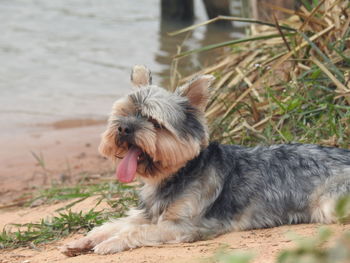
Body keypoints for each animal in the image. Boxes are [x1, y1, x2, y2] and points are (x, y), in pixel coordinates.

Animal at [61, 66, 350, 258]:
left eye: (155, 122)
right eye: (125, 113)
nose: (122, 129)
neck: (177, 174)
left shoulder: (183, 226)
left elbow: (135, 232)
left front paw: (110, 243)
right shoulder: (146, 214)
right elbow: (115, 224)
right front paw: (84, 240)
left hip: (330, 205)